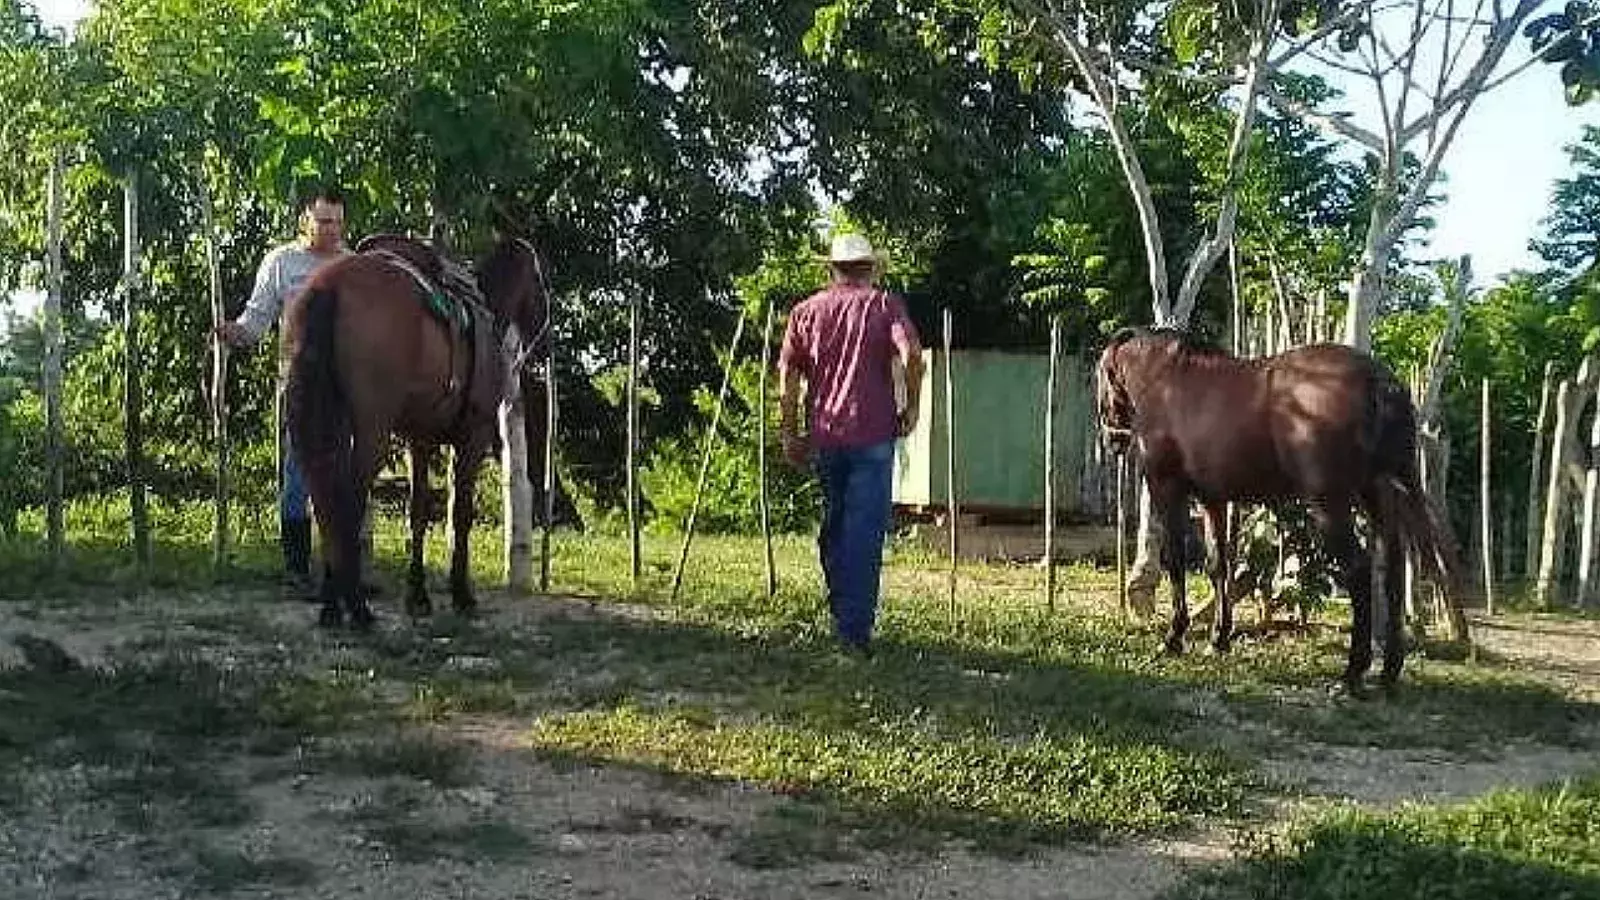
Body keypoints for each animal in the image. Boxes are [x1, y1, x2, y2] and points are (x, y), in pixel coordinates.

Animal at [278, 229, 547, 624]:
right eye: (540, 283)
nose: (544, 340)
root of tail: (330, 285)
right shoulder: (473, 437)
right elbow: (460, 515)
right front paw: (462, 594)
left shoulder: (418, 441)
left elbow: (417, 512)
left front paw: (417, 595)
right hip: (372, 433)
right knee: (348, 500)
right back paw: (356, 608)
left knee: (325, 496)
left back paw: (332, 603)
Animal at [1094, 325, 1459, 688]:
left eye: (1101, 377)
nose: (1112, 440)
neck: (1168, 382)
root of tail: (1378, 381)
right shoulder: (1214, 499)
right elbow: (1218, 564)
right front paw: (1218, 638)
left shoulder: (1167, 490)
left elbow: (1175, 561)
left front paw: (1174, 637)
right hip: (1379, 494)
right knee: (1394, 569)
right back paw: (1389, 670)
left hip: (1330, 503)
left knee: (1358, 570)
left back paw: (1353, 672)